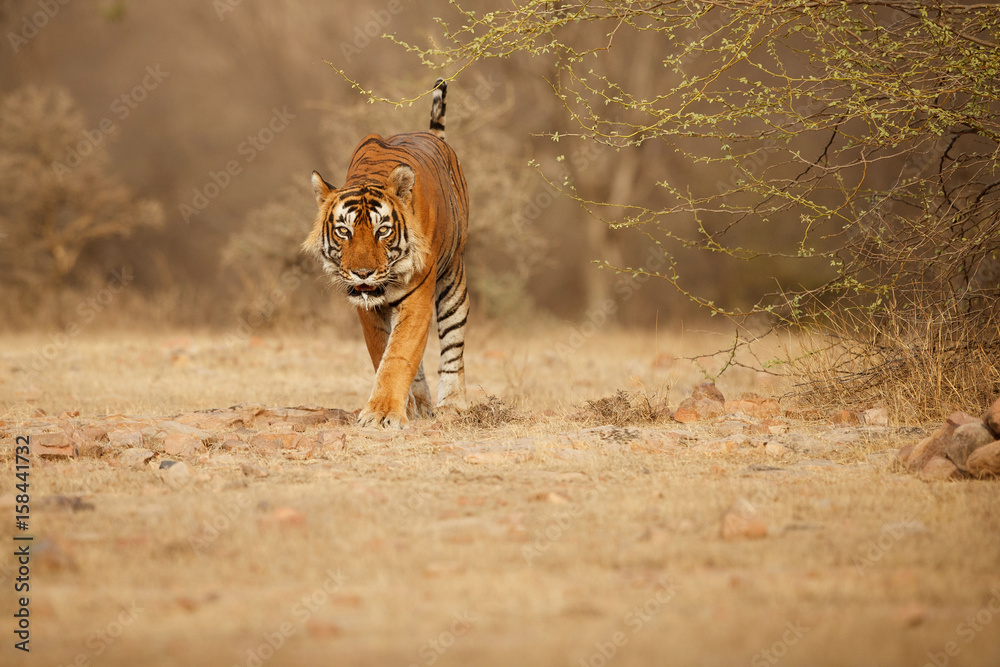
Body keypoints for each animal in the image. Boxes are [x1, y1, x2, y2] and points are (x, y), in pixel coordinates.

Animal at [304, 78, 469, 429]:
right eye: (344, 231)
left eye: (383, 230)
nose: (362, 273)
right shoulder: (366, 307)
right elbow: (383, 351)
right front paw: (395, 407)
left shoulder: (418, 295)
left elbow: (399, 353)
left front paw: (381, 414)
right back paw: (419, 405)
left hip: (453, 278)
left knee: (453, 341)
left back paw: (452, 405)